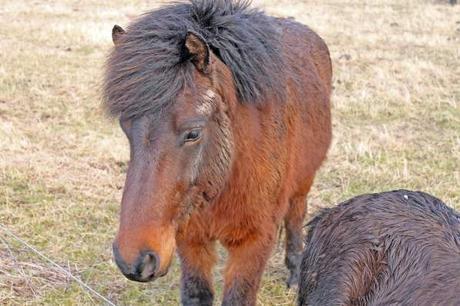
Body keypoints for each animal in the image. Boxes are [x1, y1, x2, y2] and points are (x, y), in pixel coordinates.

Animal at [103, 1, 330, 304]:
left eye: (193, 133)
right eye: (125, 127)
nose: (134, 260)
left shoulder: (254, 244)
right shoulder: (190, 238)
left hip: (303, 182)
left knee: (295, 216)